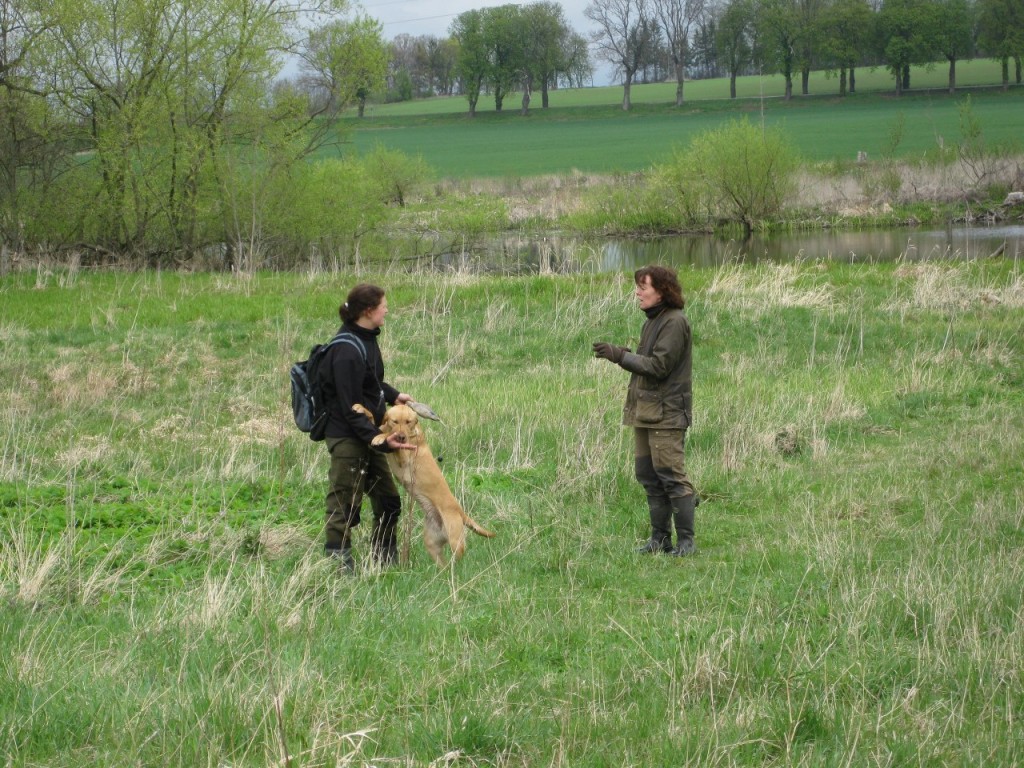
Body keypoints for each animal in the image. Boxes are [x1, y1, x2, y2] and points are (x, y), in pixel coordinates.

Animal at [354, 403, 493, 565]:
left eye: (408, 422)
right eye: (395, 421)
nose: (401, 437)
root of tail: (460, 511)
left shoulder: (404, 456)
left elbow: (388, 435)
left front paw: (380, 437)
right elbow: (375, 422)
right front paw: (360, 408)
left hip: (455, 541)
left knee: (458, 558)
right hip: (431, 543)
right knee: (443, 563)